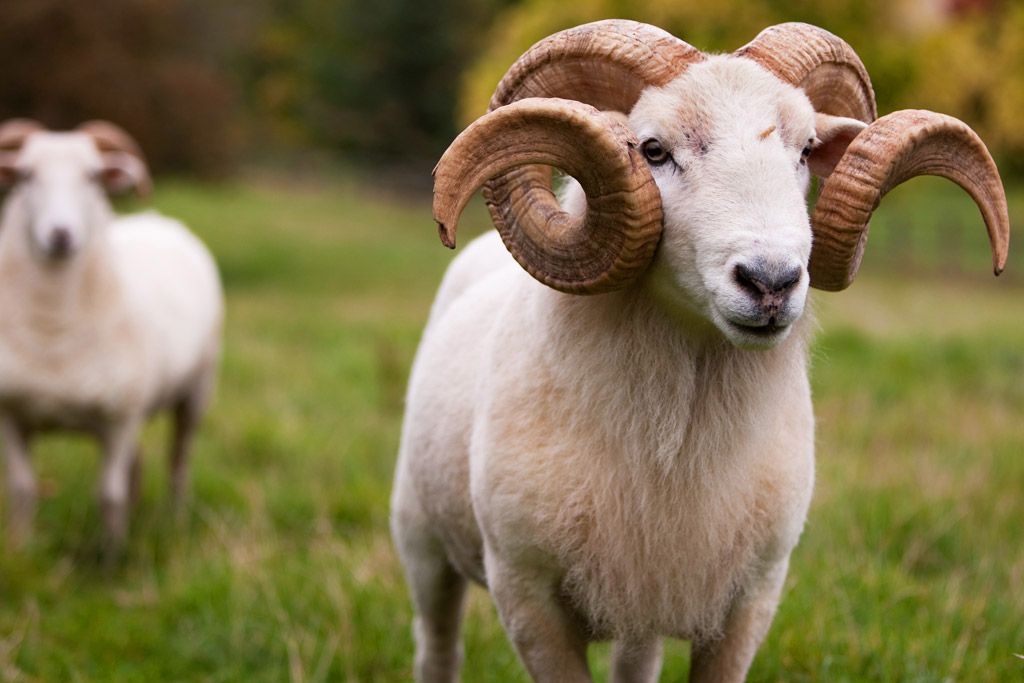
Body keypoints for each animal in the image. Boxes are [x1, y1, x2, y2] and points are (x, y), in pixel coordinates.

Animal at [0, 117, 223, 557]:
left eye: (93, 176)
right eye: (25, 175)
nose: (61, 234)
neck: (53, 334)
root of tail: (157, 217)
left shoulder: (118, 421)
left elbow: (108, 496)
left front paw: (111, 559)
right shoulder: (10, 417)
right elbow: (22, 490)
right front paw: (21, 550)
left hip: (197, 389)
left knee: (178, 461)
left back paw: (175, 519)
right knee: (137, 466)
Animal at [391, 21, 1007, 683]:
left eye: (806, 149)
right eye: (653, 150)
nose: (771, 281)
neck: (681, 427)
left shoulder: (752, 594)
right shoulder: (526, 596)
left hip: (644, 605)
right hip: (420, 537)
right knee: (437, 643)